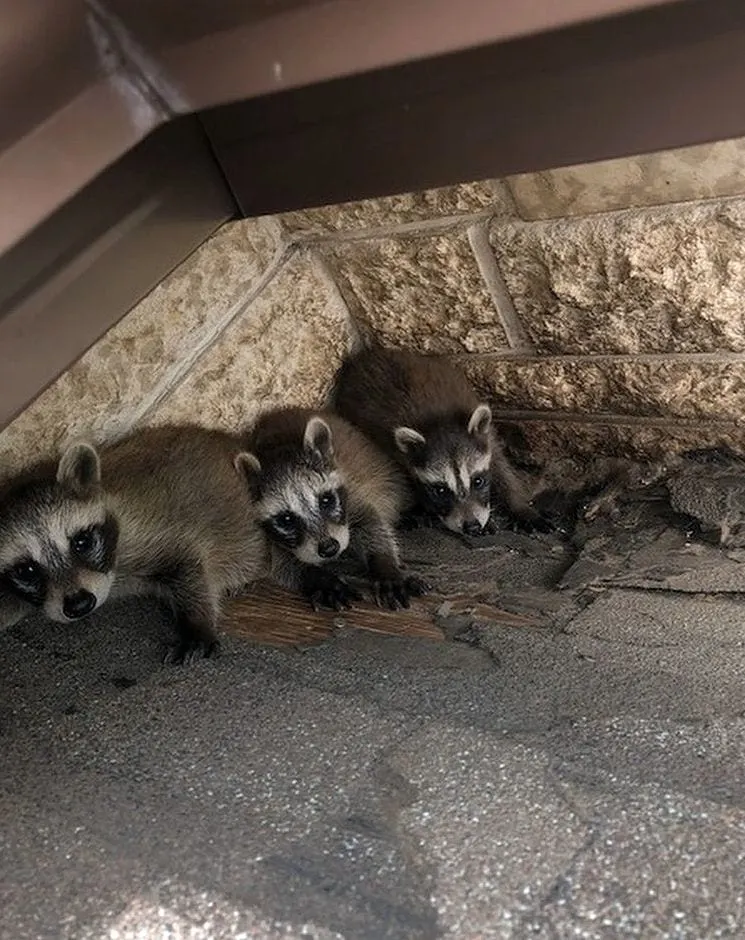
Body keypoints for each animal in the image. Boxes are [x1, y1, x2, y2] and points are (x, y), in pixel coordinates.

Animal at [0, 426, 265, 663]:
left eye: (81, 542)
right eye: (26, 570)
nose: (80, 605)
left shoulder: (148, 534)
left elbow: (188, 566)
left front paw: (197, 622)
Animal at [235, 407, 428, 610]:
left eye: (326, 500)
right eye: (286, 519)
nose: (329, 549)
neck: (277, 446)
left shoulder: (352, 489)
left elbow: (371, 523)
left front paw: (384, 564)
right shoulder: (263, 535)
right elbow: (280, 563)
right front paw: (318, 578)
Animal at [332, 345, 542, 535]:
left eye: (478, 481)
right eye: (440, 490)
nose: (472, 526)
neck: (439, 421)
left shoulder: (485, 434)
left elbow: (502, 467)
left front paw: (518, 506)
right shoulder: (386, 443)